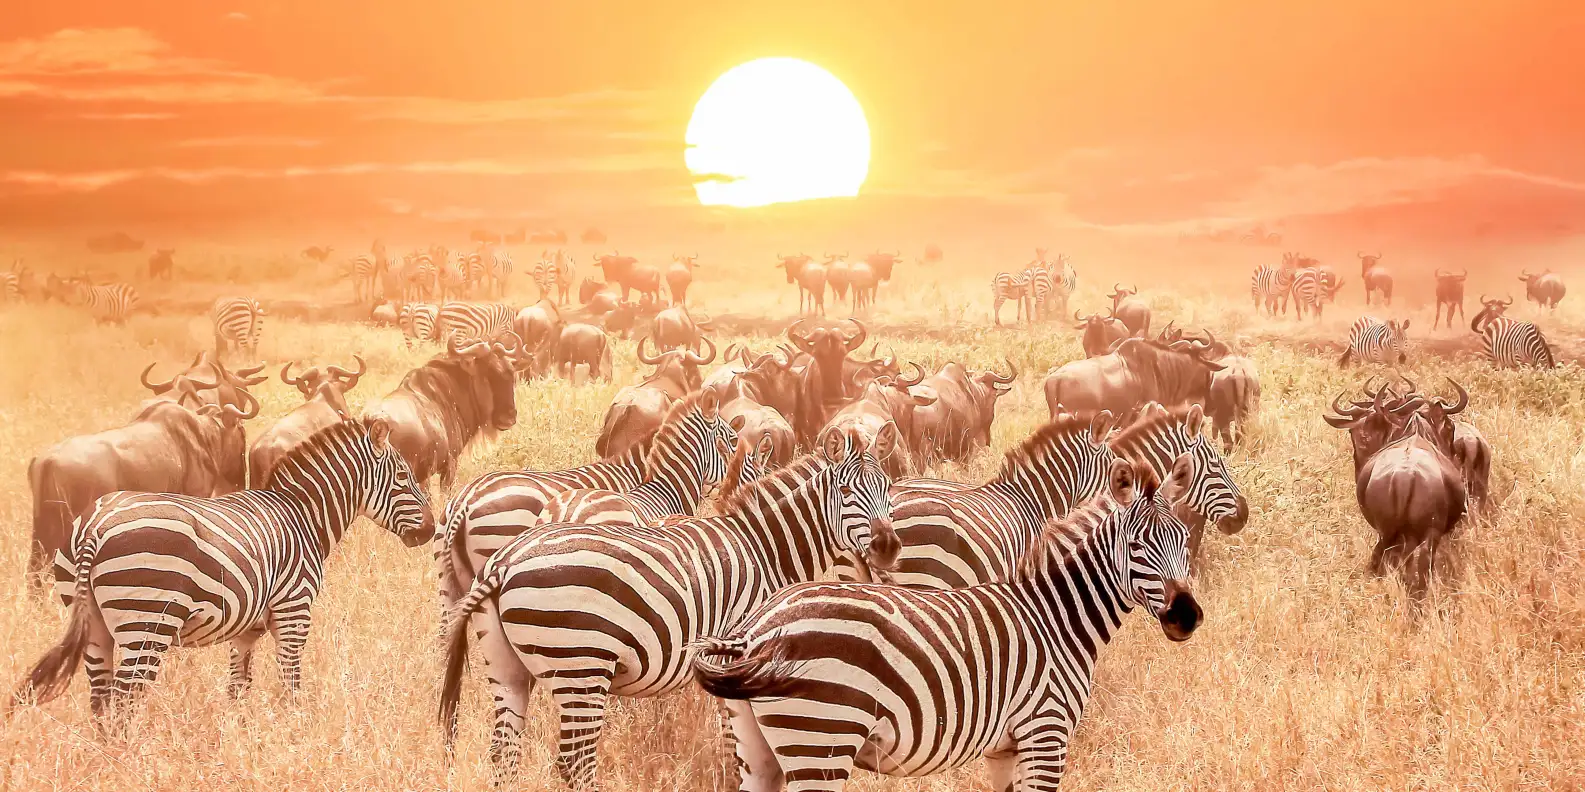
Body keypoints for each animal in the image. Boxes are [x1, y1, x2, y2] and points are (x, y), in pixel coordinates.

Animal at [11, 419, 433, 718]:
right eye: (402, 477)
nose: (430, 530)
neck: (302, 516)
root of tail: (96, 526)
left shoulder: (246, 630)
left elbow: (238, 688)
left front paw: (238, 736)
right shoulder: (294, 612)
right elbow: (291, 683)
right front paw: (294, 732)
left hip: (94, 625)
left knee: (101, 702)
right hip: (145, 623)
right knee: (124, 701)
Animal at [436, 426, 902, 789]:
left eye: (888, 490)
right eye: (846, 492)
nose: (888, 547)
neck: (763, 548)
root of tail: (506, 561)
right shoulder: (735, 653)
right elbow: (733, 736)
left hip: (507, 664)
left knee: (504, 752)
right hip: (581, 664)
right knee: (574, 762)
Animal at [692, 455, 1200, 792]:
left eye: (1183, 540)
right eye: (1136, 545)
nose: (1187, 617)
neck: (1056, 618)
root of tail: (755, 629)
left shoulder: (1005, 747)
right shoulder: (1046, 732)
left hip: (759, 750)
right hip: (821, 738)